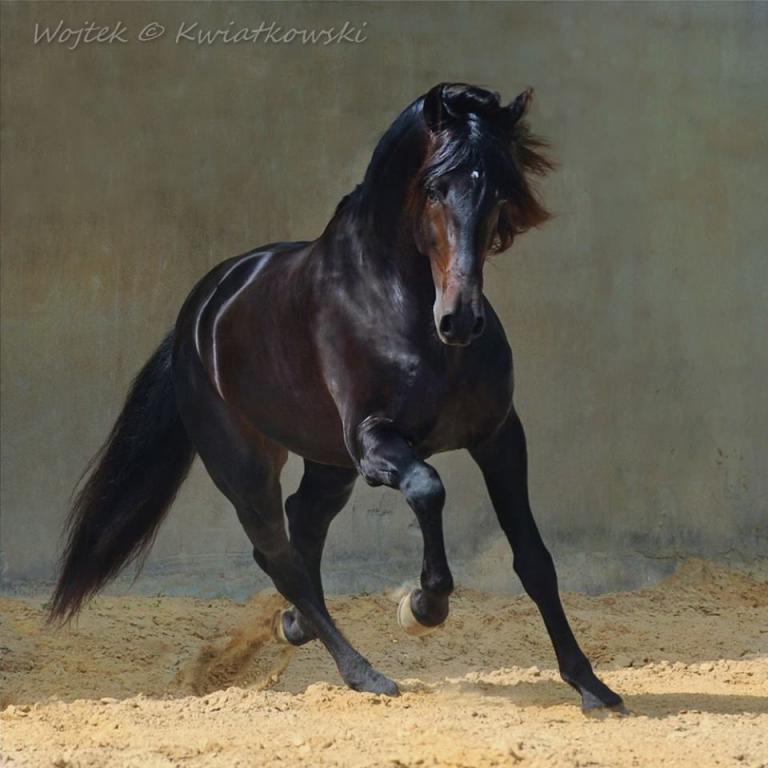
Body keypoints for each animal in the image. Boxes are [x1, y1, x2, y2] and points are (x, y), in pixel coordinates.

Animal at [50, 83, 624, 712]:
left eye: (500, 189)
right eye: (433, 188)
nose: (461, 320)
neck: (401, 309)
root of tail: (198, 314)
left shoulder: (498, 437)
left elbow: (535, 560)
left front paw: (591, 685)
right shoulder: (375, 441)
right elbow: (428, 489)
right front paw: (421, 608)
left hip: (327, 462)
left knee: (303, 527)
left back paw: (294, 626)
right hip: (245, 467)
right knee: (279, 555)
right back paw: (364, 673)